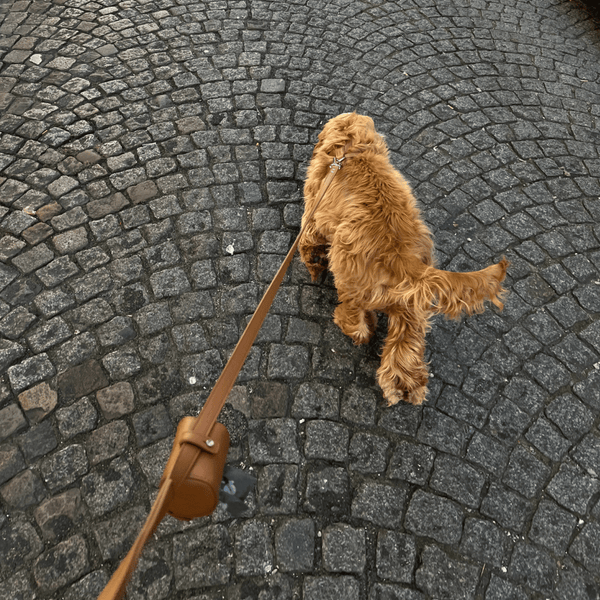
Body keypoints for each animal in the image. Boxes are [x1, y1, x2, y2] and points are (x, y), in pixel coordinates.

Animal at [298, 112, 506, 406]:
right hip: (410, 309)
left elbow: (308, 244)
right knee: (406, 346)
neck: (350, 150)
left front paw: (314, 268)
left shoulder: (313, 215)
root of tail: (404, 260)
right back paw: (406, 386)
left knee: (357, 321)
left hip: (350, 276)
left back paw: (350, 323)